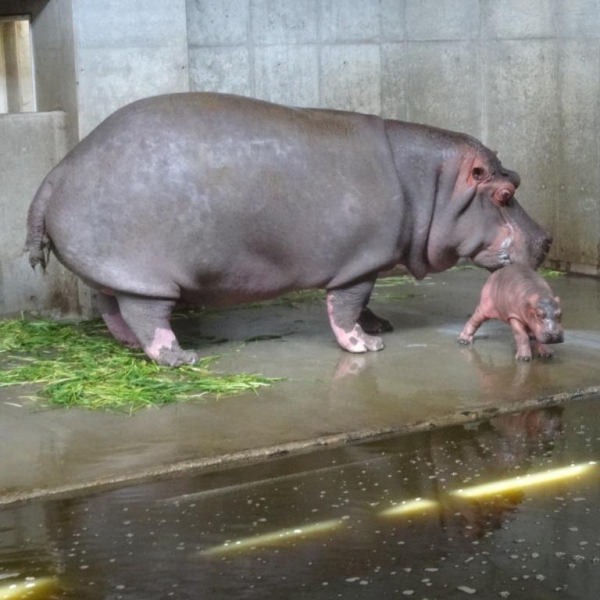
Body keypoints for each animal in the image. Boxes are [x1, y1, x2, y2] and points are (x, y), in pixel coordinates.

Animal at [24, 92, 552, 366]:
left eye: (516, 178)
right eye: (504, 193)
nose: (547, 238)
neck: (434, 183)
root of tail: (58, 169)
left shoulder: (371, 259)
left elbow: (363, 303)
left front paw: (379, 326)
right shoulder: (360, 262)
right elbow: (346, 306)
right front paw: (368, 345)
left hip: (114, 271)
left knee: (111, 306)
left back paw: (135, 346)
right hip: (146, 275)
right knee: (145, 313)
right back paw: (179, 357)